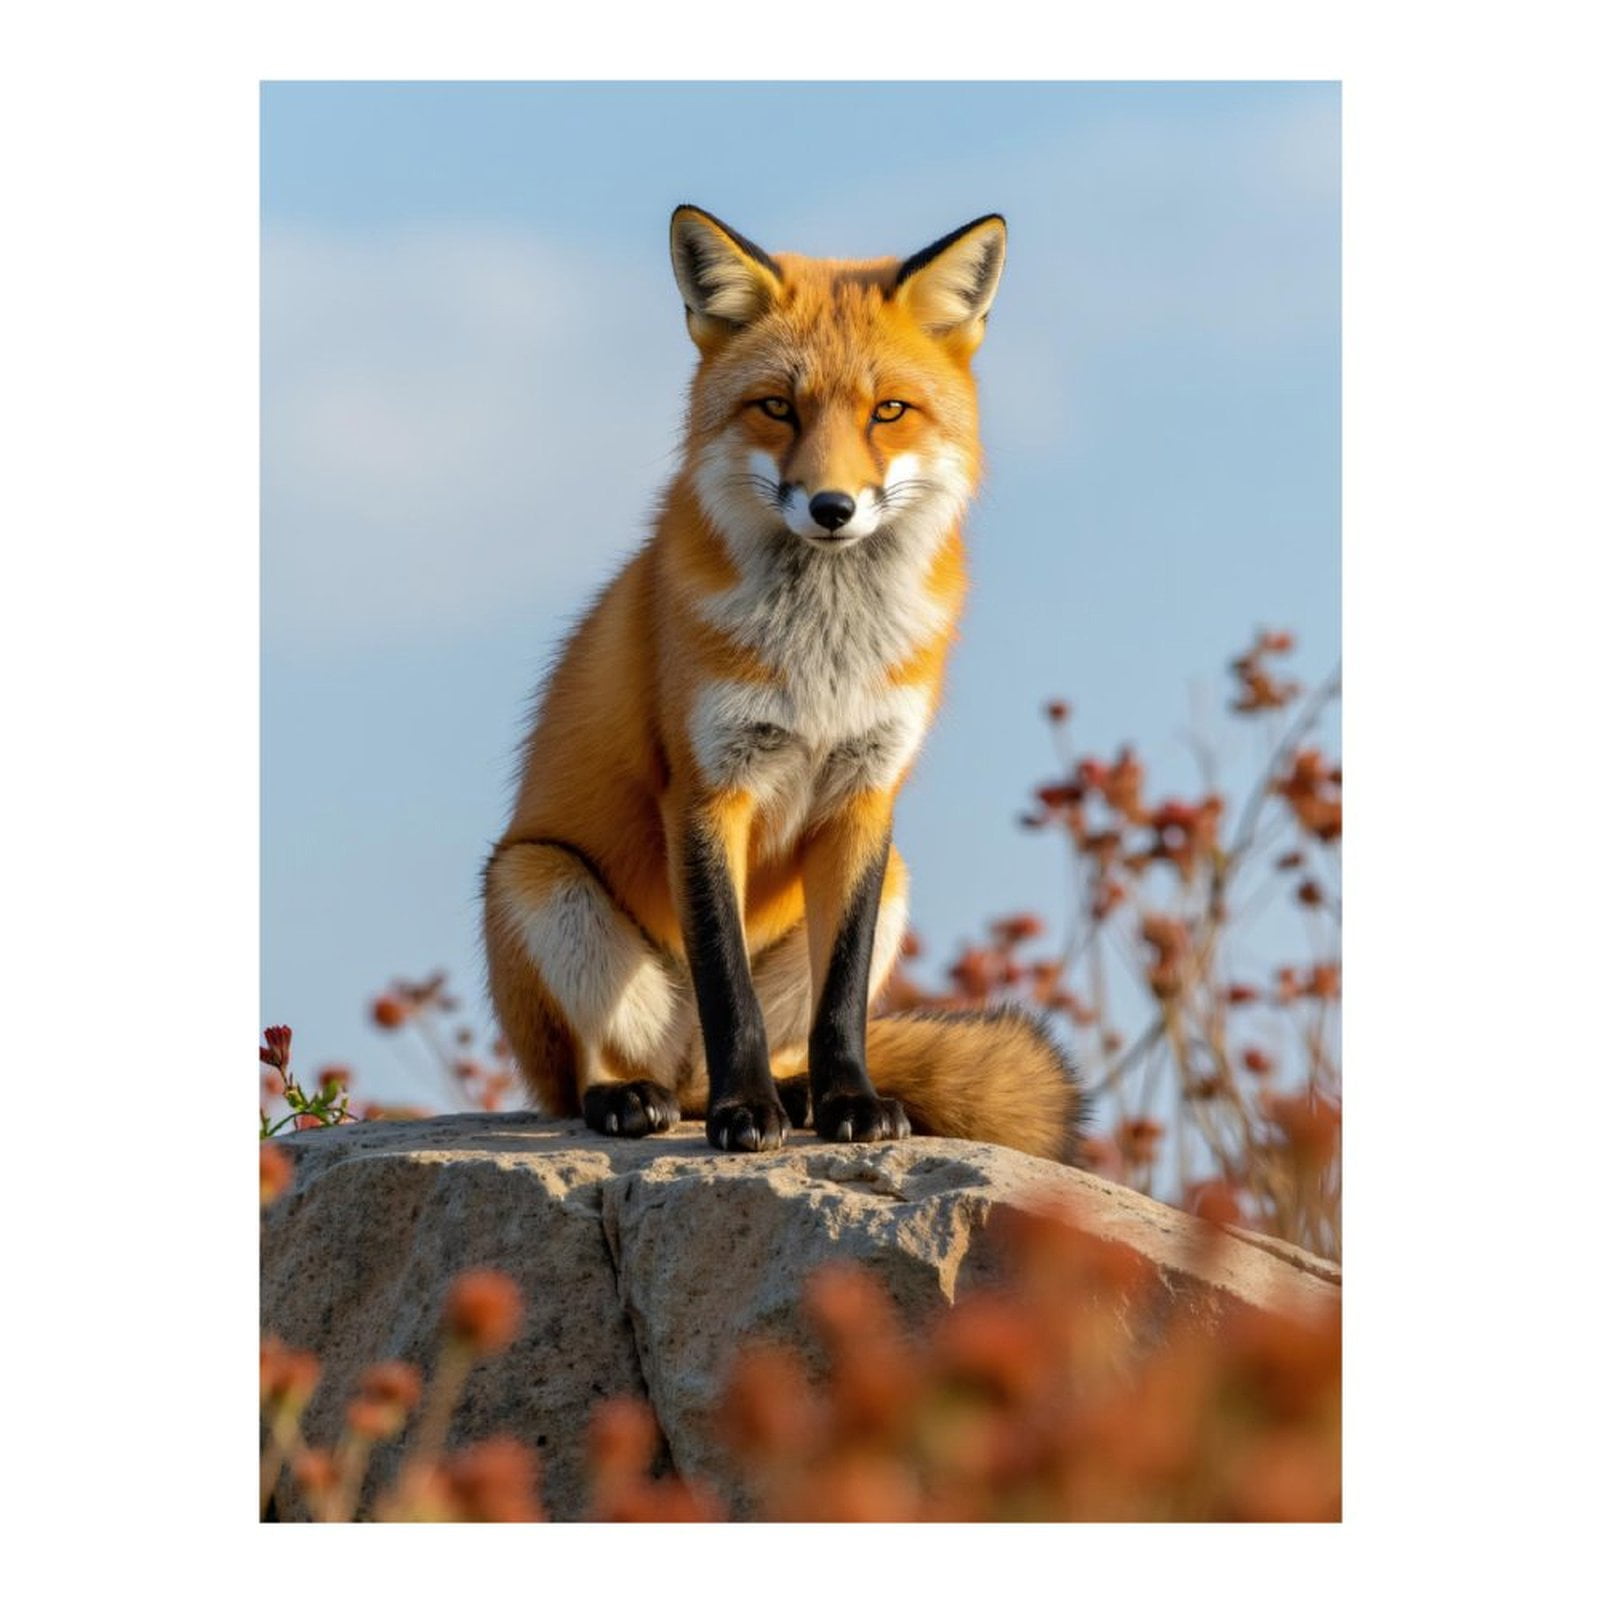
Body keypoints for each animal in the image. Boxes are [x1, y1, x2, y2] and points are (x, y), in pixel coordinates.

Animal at [482, 204, 1082, 1162]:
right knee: (587, 1079)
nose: (832, 507)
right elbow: (728, 988)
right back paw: (642, 1098)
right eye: (776, 408)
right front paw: (745, 1113)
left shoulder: (866, 796)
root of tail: (677, 1073)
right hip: (540, 881)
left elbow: (844, 999)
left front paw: (849, 1103)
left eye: (887, 411)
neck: (823, 658)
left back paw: (797, 1096)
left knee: (777, 1044)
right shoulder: (703, 790)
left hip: (896, 877)